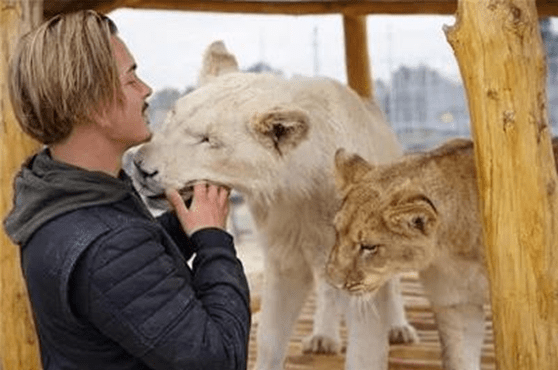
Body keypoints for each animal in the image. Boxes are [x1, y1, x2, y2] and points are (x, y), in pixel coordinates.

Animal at [133, 41, 418, 370]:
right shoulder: (285, 254)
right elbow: (270, 334)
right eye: (172, 116)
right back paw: (323, 338)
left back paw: (399, 329)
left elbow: (365, 347)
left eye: (208, 140)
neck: (300, 193)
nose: (140, 167)